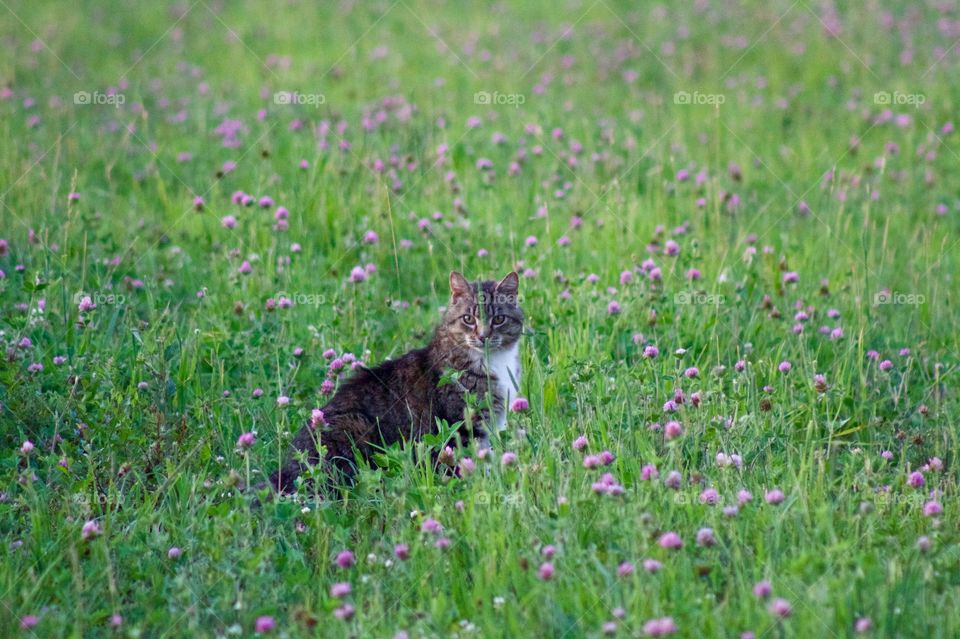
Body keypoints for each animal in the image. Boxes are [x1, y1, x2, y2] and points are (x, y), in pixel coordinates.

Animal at [266, 270, 520, 496]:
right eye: (468, 319)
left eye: (499, 319)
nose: (483, 336)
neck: (492, 362)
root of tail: (285, 471)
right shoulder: (463, 426)